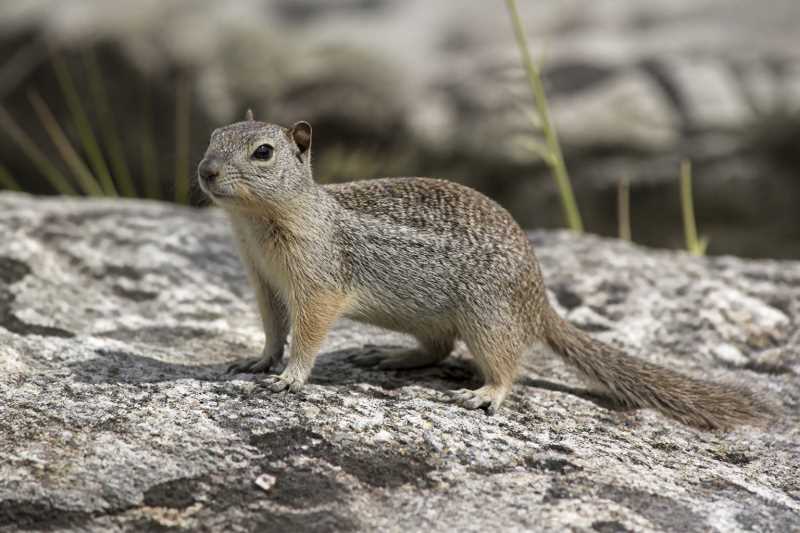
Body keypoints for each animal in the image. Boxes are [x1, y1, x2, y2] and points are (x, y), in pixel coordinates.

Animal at [197, 111, 770, 430]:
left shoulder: (317, 283)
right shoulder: (263, 282)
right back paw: (390, 355)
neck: (258, 224)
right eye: (213, 135)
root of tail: (540, 300)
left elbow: (309, 332)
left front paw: (291, 378)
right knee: (438, 347)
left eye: (263, 152)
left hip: (487, 318)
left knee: (506, 365)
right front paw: (257, 361)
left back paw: (486, 393)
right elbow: (273, 328)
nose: (205, 171)